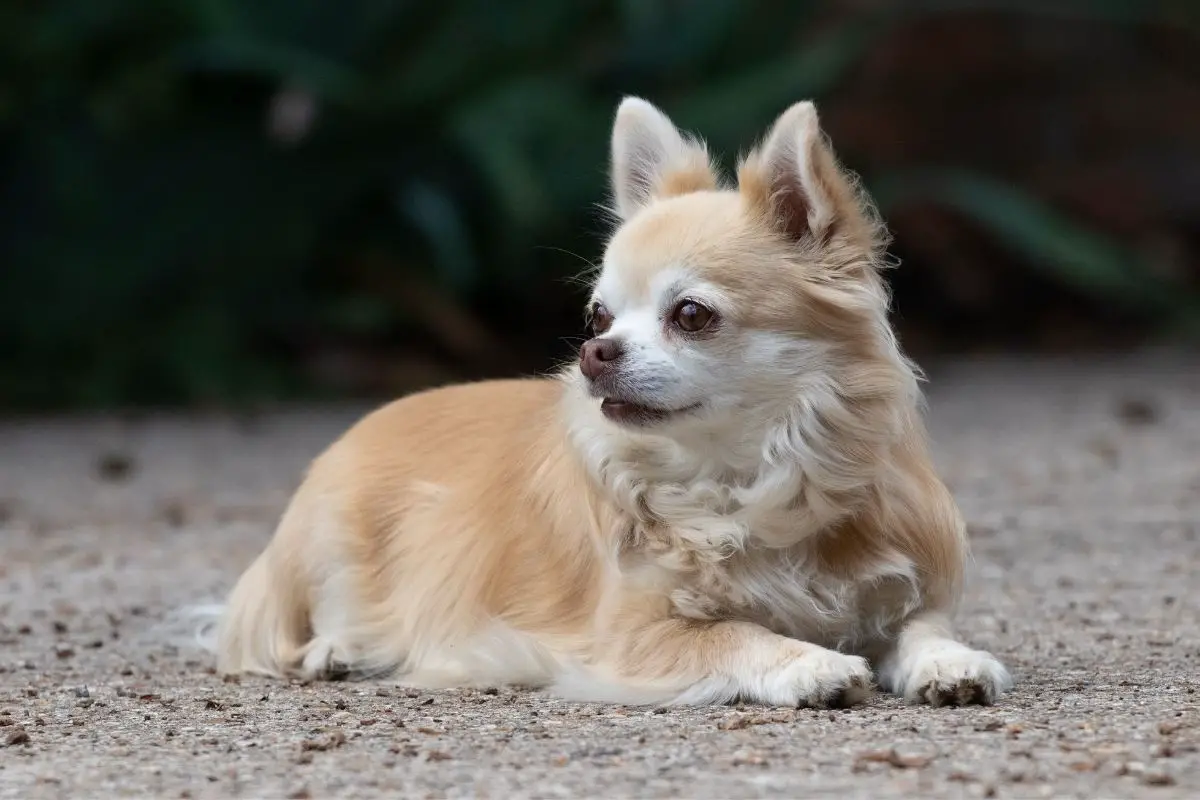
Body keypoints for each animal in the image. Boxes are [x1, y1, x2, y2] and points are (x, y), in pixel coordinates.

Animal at [213, 95, 1012, 705]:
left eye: (690, 314)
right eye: (597, 317)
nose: (595, 354)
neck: (748, 478)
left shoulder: (901, 588)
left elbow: (922, 626)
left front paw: (950, 661)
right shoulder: (631, 635)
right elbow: (738, 631)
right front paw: (809, 662)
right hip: (324, 547)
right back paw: (337, 649)